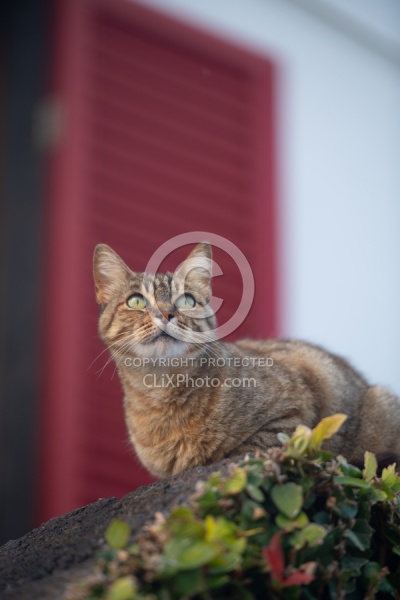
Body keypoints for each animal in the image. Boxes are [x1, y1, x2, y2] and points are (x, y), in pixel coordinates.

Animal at [94, 241, 400, 476]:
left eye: (186, 301)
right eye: (136, 301)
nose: (166, 313)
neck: (161, 388)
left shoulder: (294, 408)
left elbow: (251, 446)